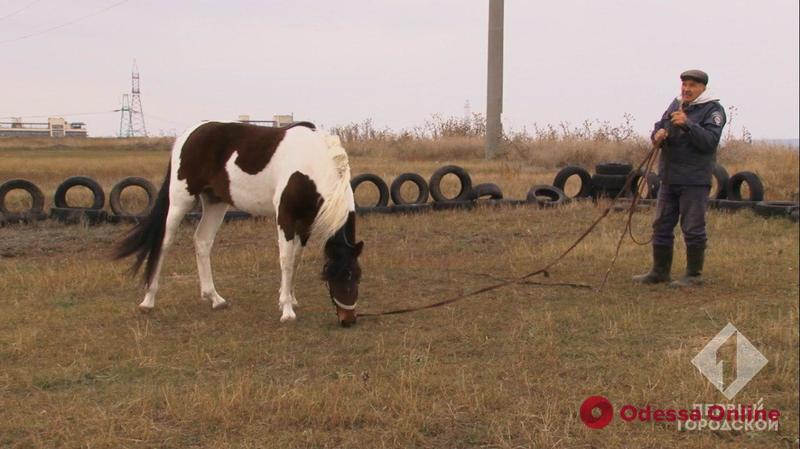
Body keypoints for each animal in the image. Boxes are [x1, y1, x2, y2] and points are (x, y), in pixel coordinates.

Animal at [114, 121, 364, 326]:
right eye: (338, 276)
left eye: (357, 275)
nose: (348, 320)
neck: (312, 162)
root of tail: (187, 136)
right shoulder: (285, 217)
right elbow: (286, 259)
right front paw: (286, 310)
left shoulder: (305, 222)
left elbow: (296, 259)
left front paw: (291, 298)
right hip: (180, 200)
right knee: (163, 243)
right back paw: (148, 300)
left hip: (215, 202)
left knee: (202, 241)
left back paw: (214, 298)